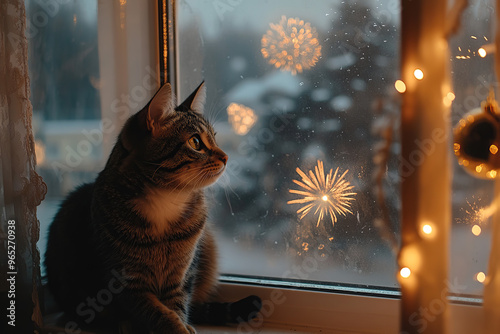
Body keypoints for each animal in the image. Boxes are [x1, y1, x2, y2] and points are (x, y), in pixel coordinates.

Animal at [46, 82, 262, 332]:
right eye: (196, 142)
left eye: (215, 138)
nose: (226, 157)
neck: (165, 199)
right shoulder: (126, 284)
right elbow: (158, 313)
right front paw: (177, 327)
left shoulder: (181, 276)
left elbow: (176, 305)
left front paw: (183, 324)